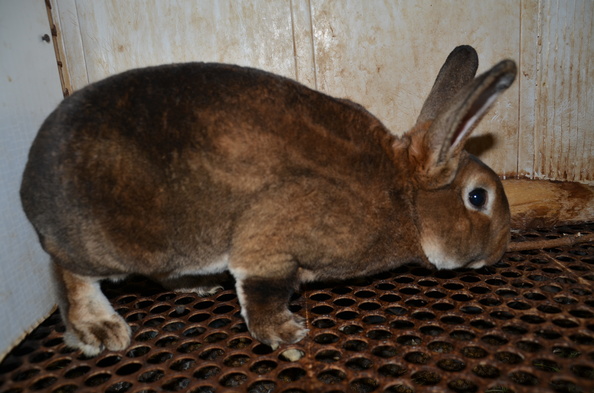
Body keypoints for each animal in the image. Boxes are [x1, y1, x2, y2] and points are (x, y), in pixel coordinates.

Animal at [20, 46, 512, 356]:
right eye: (477, 197)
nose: (499, 252)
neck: (404, 197)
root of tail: (29, 184)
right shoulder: (272, 240)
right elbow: (261, 290)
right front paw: (286, 332)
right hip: (115, 243)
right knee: (69, 273)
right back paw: (100, 330)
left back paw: (197, 285)